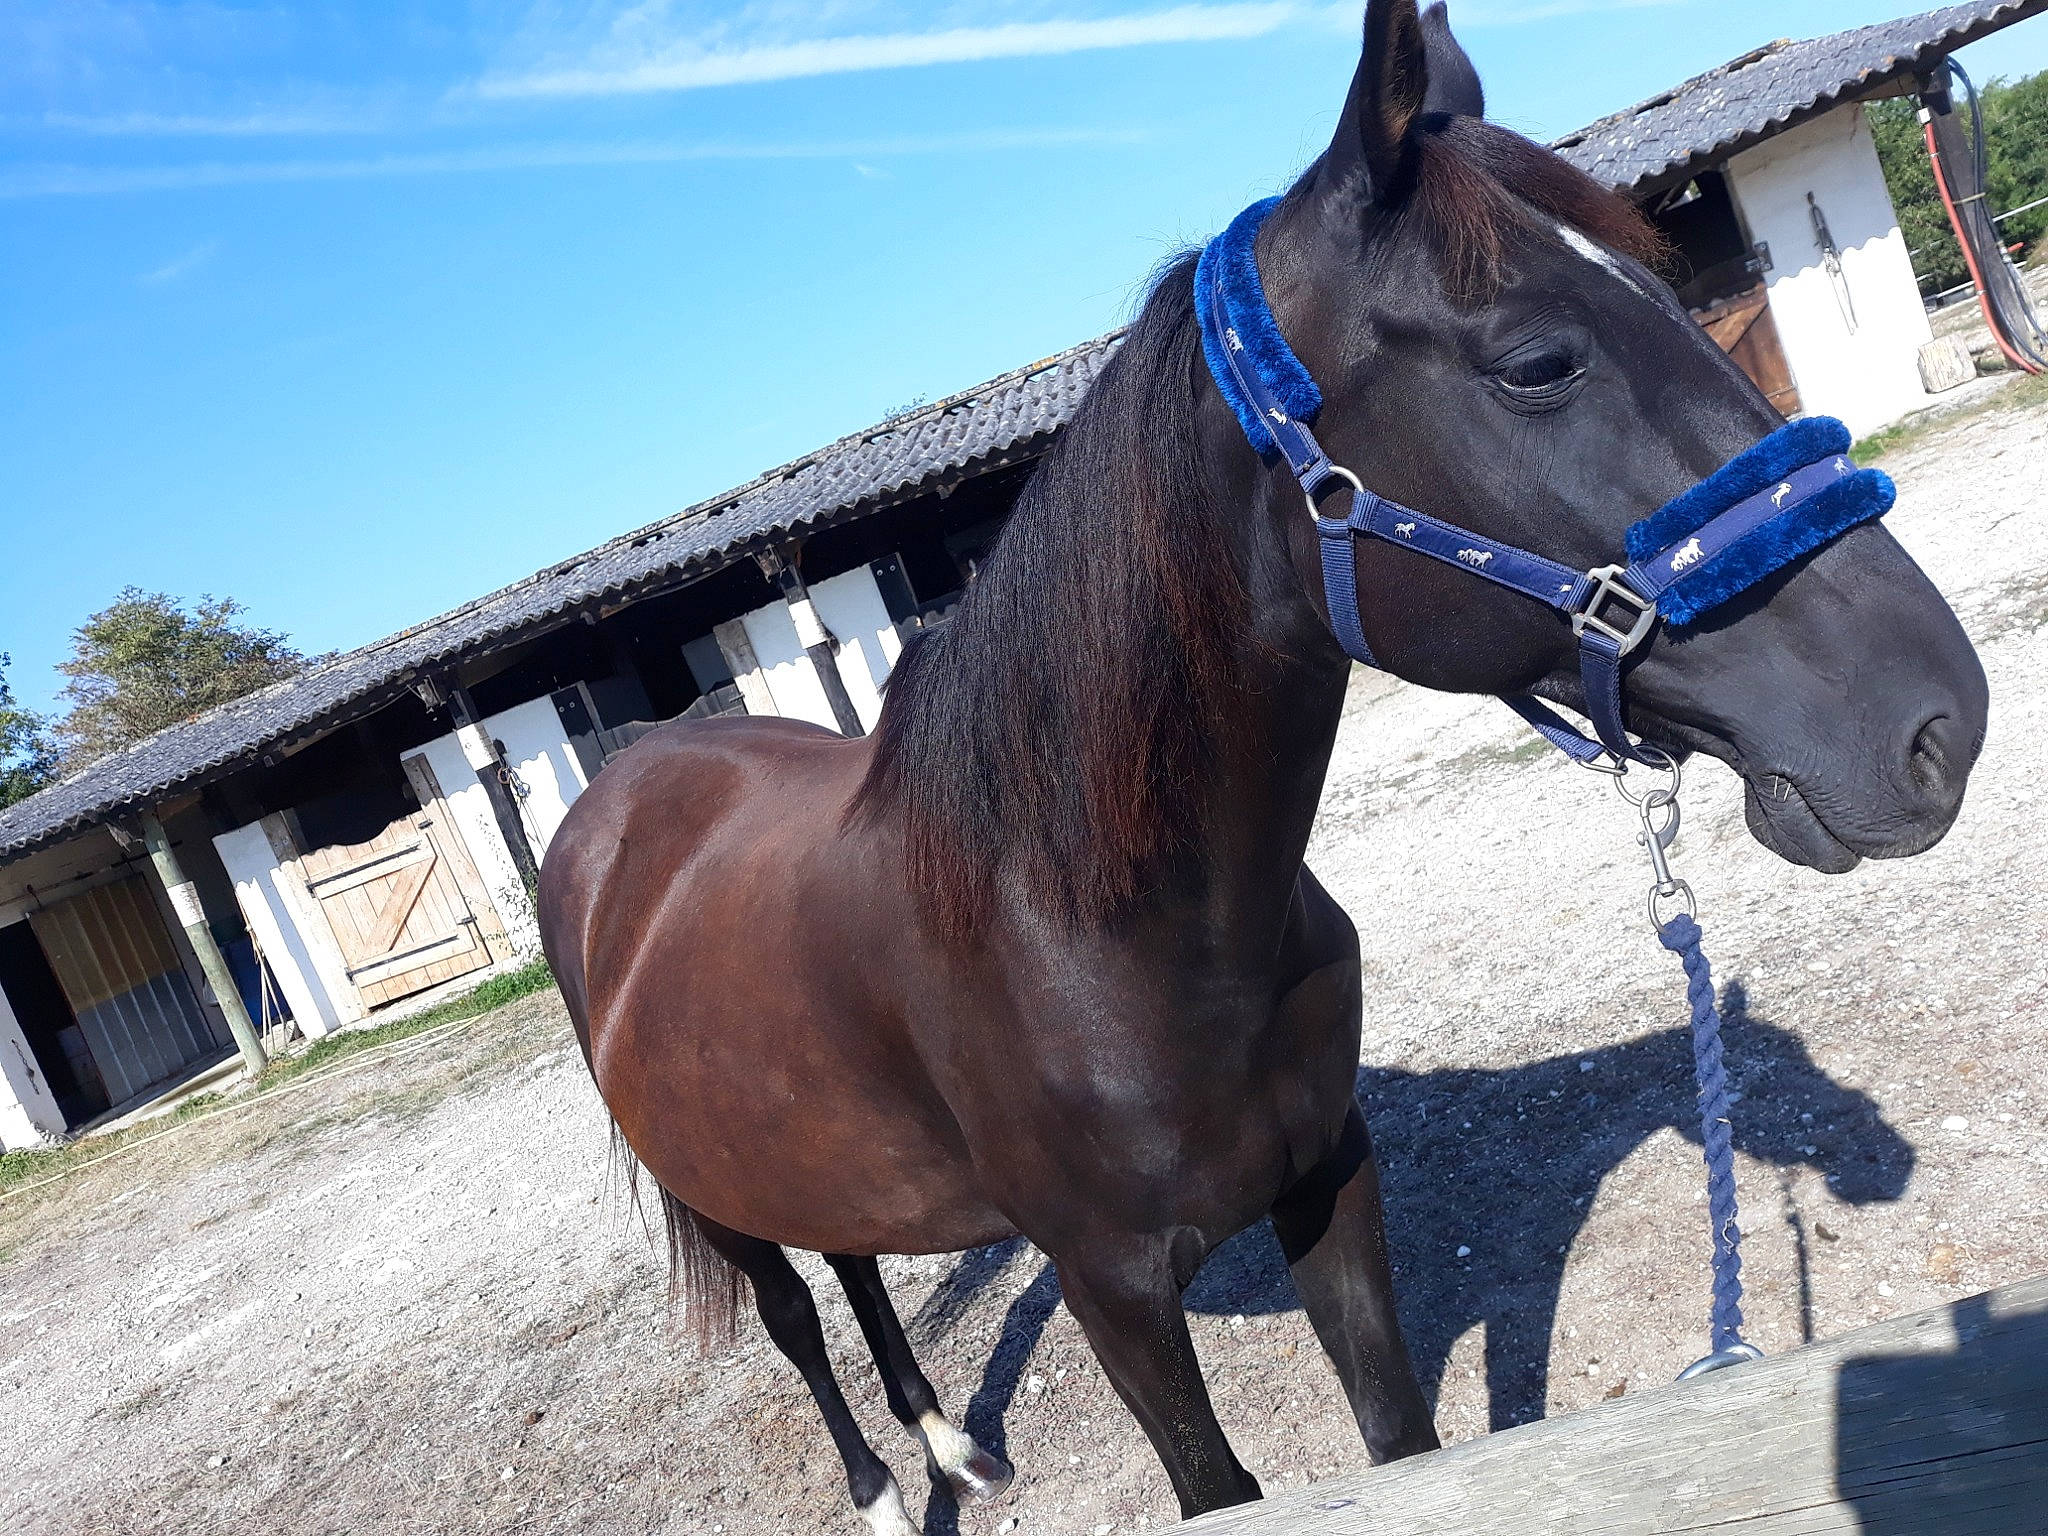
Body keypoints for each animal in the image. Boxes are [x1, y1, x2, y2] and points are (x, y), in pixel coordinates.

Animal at [538, 1, 1987, 1527]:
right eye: (1536, 362)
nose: (1935, 718)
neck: (1094, 927)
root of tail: (617, 801)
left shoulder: (1328, 1185)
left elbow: (1403, 1438)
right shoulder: (1115, 1298)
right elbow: (1213, 1477)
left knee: (857, 1265)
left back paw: (952, 1448)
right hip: (717, 1200)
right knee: (795, 1312)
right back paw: (883, 1485)